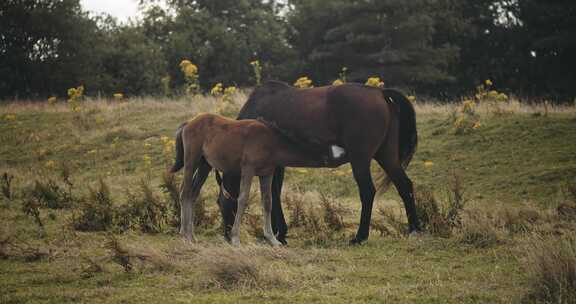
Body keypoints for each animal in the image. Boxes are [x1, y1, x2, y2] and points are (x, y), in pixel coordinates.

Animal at [172, 113, 316, 246]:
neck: (270, 140)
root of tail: (188, 124)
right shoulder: (248, 170)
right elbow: (242, 199)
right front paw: (235, 239)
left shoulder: (267, 173)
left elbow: (267, 201)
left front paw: (272, 240)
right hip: (191, 160)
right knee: (185, 192)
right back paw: (185, 234)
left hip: (204, 165)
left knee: (193, 193)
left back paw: (192, 235)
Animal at [191, 81, 420, 245]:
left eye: (221, 203)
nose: (226, 235)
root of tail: (378, 92)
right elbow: (274, 194)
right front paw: (280, 232)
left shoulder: (272, 165)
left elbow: (273, 194)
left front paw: (279, 233)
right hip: (386, 155)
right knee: (405, 186)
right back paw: (415, 229)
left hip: (360, 159)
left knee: (367, 191)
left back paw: (360, 236)